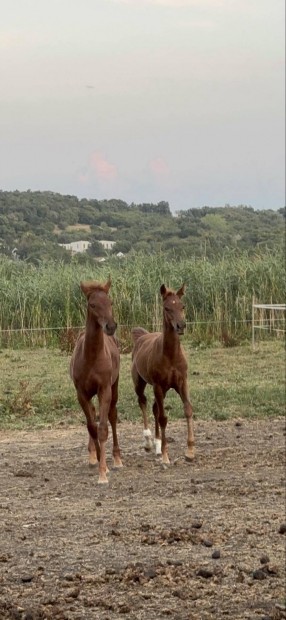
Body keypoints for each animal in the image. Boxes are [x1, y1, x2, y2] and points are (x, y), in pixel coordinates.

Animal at [70, 278, 123, 484]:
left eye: (111, 302)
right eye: (92, 304)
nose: (110, 326)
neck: (91, 357)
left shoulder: (104, 389)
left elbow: (102, 427)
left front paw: (104, 471)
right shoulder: (81, 394)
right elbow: (92, 427)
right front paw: (100, 462)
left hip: (114, 387)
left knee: (112, 416)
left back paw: (117, 459)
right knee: (93, 414)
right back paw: (93, 456)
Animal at [131, 284, 194, 462]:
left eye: (182, 306)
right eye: (167, 308)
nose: (181, 326)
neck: (171, 355)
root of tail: (143, 336)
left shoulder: (182, 382)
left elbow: (188, 410)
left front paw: (190, 451)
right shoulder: (158, 386)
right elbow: (163, 418)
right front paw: (166, 456)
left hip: (164, 389)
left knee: (154, 408)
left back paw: (157, 445)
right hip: (141, 383)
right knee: (143, 402)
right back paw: (148, 442)